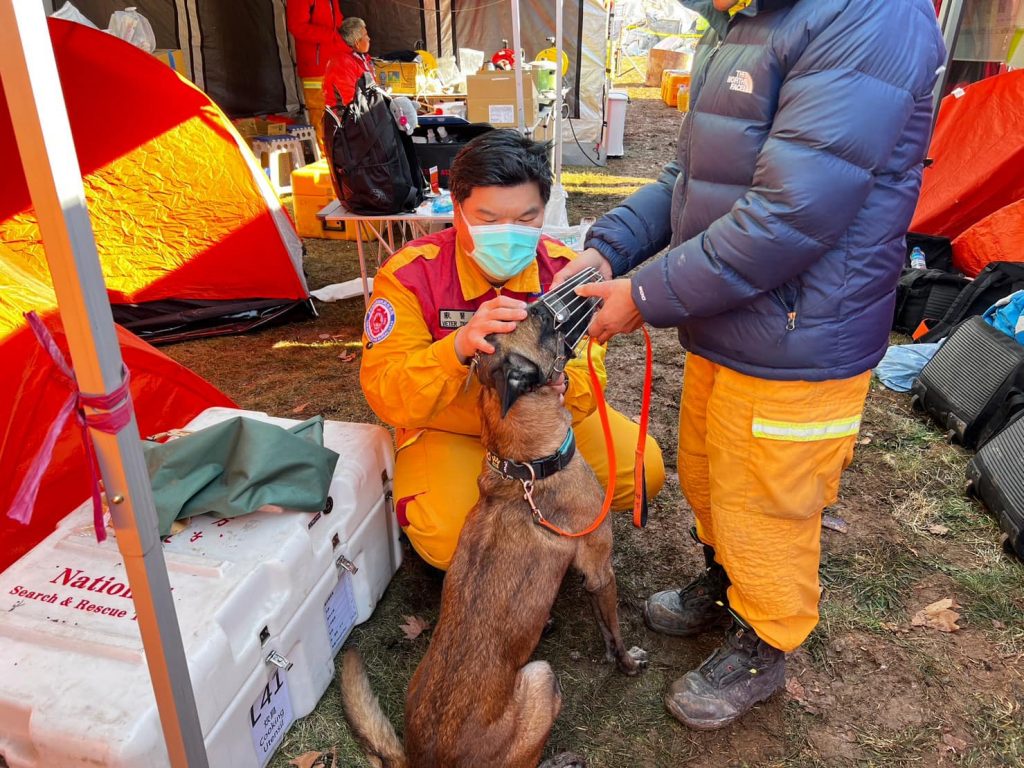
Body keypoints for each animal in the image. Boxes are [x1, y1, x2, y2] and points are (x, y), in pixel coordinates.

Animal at [341, 303, 646, 768]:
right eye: (542, 319)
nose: (549, 301)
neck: (524, 466)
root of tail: (422, 760)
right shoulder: (600, 569)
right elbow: (613, 628)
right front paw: (626, 662)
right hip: (541, 677)